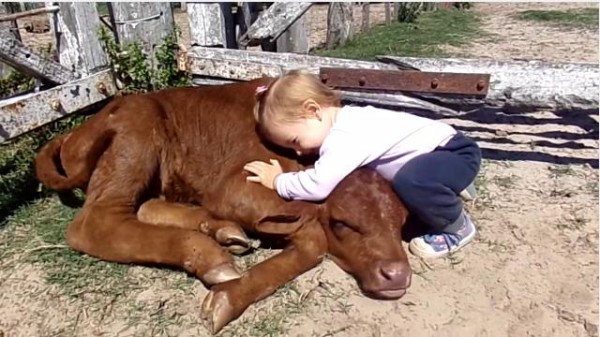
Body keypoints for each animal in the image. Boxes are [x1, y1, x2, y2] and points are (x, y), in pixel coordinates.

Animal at [34, 79, 412, 334]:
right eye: (342, 224)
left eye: (402, 223)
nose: (397, 274)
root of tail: (78, 130)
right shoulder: (234, 187)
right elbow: (312, 235)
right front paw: (227, 296)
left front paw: (230, 294)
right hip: (136, 133)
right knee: (95, 222)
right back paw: (210, 256)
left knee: (144, 208)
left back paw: (222, 232)